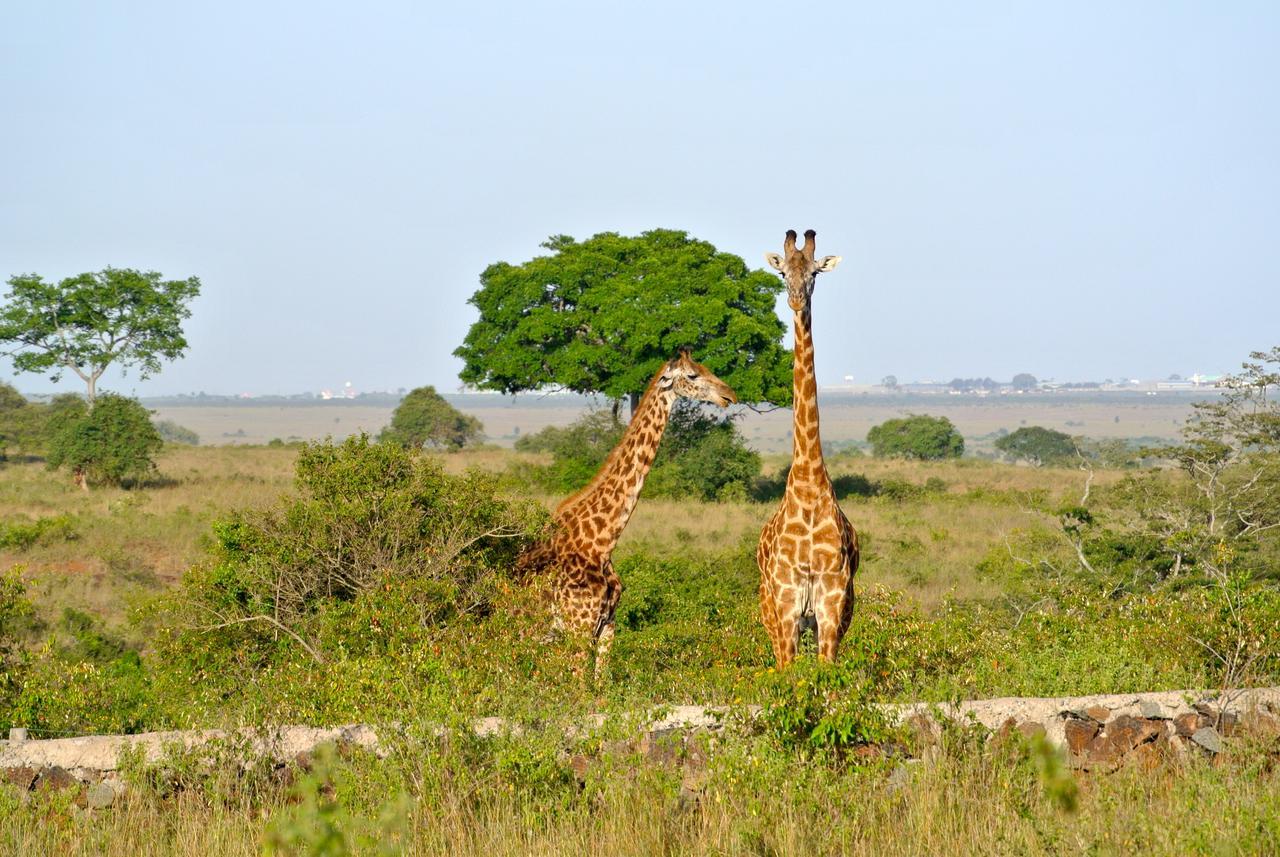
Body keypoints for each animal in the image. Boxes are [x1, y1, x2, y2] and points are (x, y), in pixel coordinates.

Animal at [514, 347, 737, 680]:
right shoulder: (579, 626)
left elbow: (602, 686)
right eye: (693, 374)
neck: (602, 542)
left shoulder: (608, 625)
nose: (729, 395)